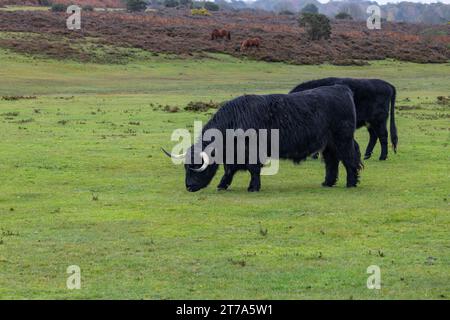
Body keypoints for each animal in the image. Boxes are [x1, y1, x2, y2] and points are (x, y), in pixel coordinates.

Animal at [163, 84, 364, 192]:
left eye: (196, 167)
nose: (189, 186)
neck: (234, 120)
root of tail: (341, 88)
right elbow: (229, 170)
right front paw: (222, 185)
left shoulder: (252, 153)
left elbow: (253, 170)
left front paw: (253, 187)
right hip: (329, 144)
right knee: (332, 162)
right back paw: (327, 183)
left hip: (343, 139)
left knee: (349, 159)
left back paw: (351, 183)